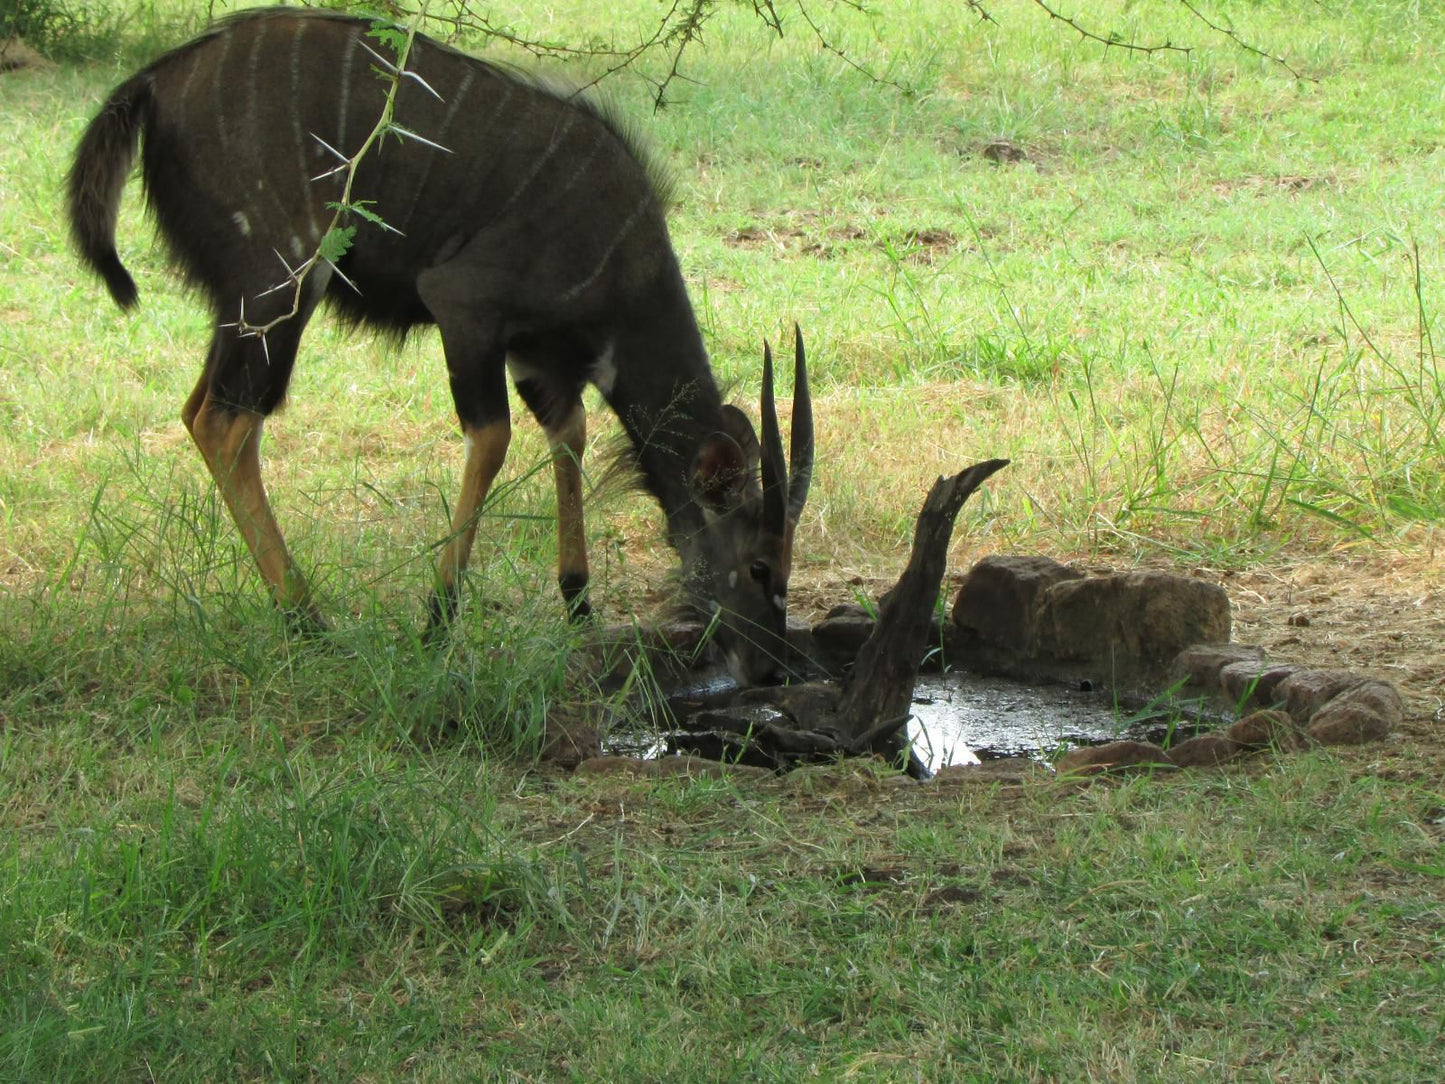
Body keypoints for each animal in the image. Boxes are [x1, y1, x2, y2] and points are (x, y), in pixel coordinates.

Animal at [65, 8, 814, 682]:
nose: (771, 669)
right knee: (226, 422)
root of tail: (155, 82)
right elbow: (492, 438)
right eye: (758, 565)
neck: (621, 263)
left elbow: (567, 434)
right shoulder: (463, 306)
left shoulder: (539, 362)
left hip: (241, 309)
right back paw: (310, 622)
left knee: (201, 411)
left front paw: (578, 606)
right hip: (282, 283)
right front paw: (436, 623)